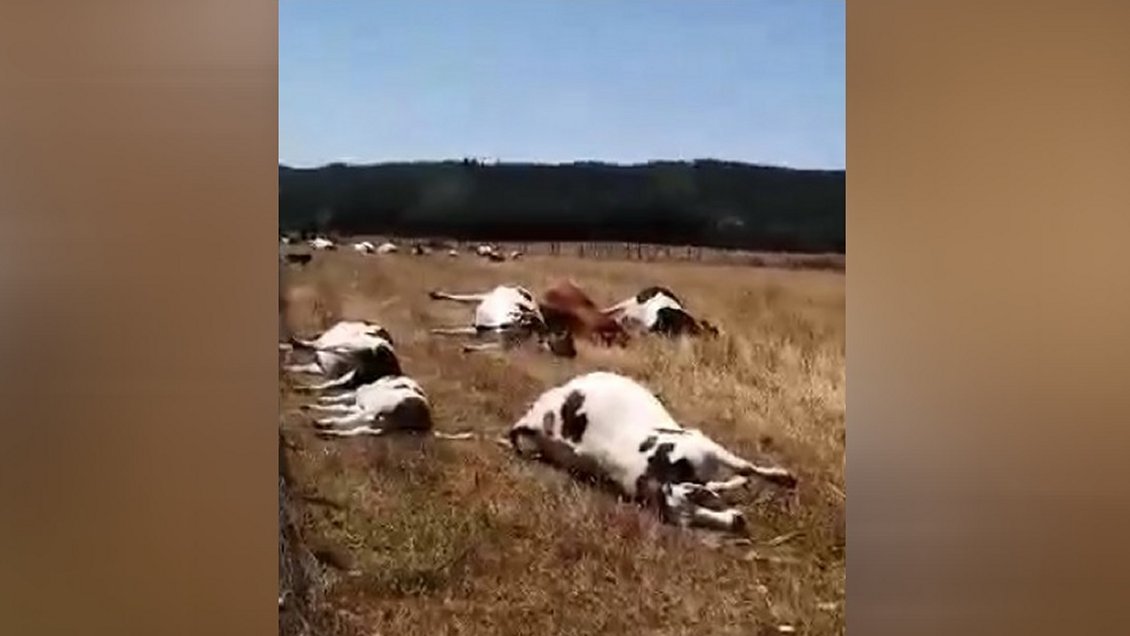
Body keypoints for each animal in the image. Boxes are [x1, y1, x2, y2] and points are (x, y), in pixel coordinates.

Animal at [301, 375, 473, 440]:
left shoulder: (365, 408)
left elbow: (343, 410)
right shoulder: (360, 407)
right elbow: (340, 406)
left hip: (379, 414)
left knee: (357, 423)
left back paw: (324, 426)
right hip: (381, 424)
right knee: (358, 429)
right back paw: (327, 431)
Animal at [428, 285, 576, 357]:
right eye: (565, 337)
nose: (573, 353)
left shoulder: (498, 340)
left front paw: (467, 347)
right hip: (484, 296)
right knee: (464, 297)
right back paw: (437, 295)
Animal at [506, 371, 796, 532]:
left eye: (701, 499)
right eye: (690, 519)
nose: (738, 522)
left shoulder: (702, 446)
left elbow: (743, 469)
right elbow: (744, 468)